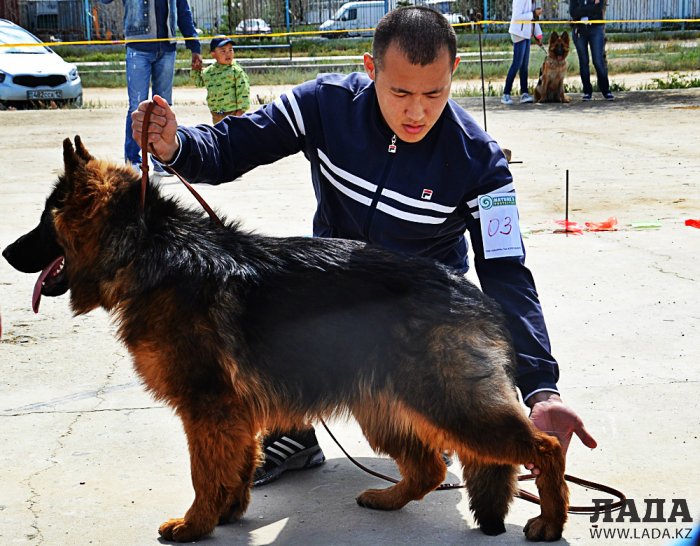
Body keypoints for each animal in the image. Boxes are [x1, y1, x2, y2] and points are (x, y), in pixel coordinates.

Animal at [1, 137, 568, 540]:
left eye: (45, 221)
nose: (7, 252)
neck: (146, 248)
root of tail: (469, 292)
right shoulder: (230, 414)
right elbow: (234, 465)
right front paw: (226, 513)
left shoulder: (207, 406)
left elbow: (204, 471)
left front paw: (195, 524)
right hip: (384, 407)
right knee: (429, 467)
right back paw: (387, 500)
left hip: (446, 403)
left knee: (543, 447)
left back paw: (551, 520)